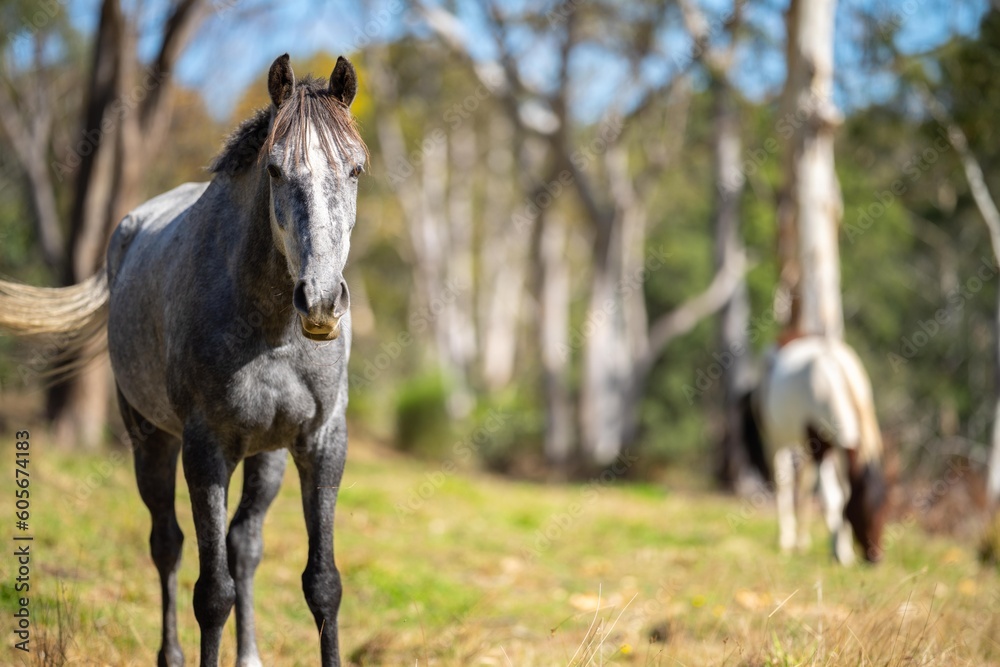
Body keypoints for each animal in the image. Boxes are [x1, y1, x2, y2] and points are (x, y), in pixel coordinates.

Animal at [0, 54, 365, 666]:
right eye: (274, 171)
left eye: (357, 170)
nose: (319, 301)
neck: (270, 332)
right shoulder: (205, 449)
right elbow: (211, 593)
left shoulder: (320, 442)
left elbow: (323, 585)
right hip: (150, 438)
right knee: (167, 544)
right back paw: (169, 654)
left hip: (266, 456)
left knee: (244, 544)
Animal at [741, 335, 888, 564]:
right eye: (864, 510)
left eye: (885, 509)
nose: (876, 558)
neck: (832, 378)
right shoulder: (818, 444)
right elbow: (832, 498)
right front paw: (841, 553)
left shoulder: (840, 447)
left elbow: (843, 493)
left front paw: (841, 547)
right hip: (776, 441)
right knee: (784, 482)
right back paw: (786, 539)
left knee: (803, 486)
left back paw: (801, 542)